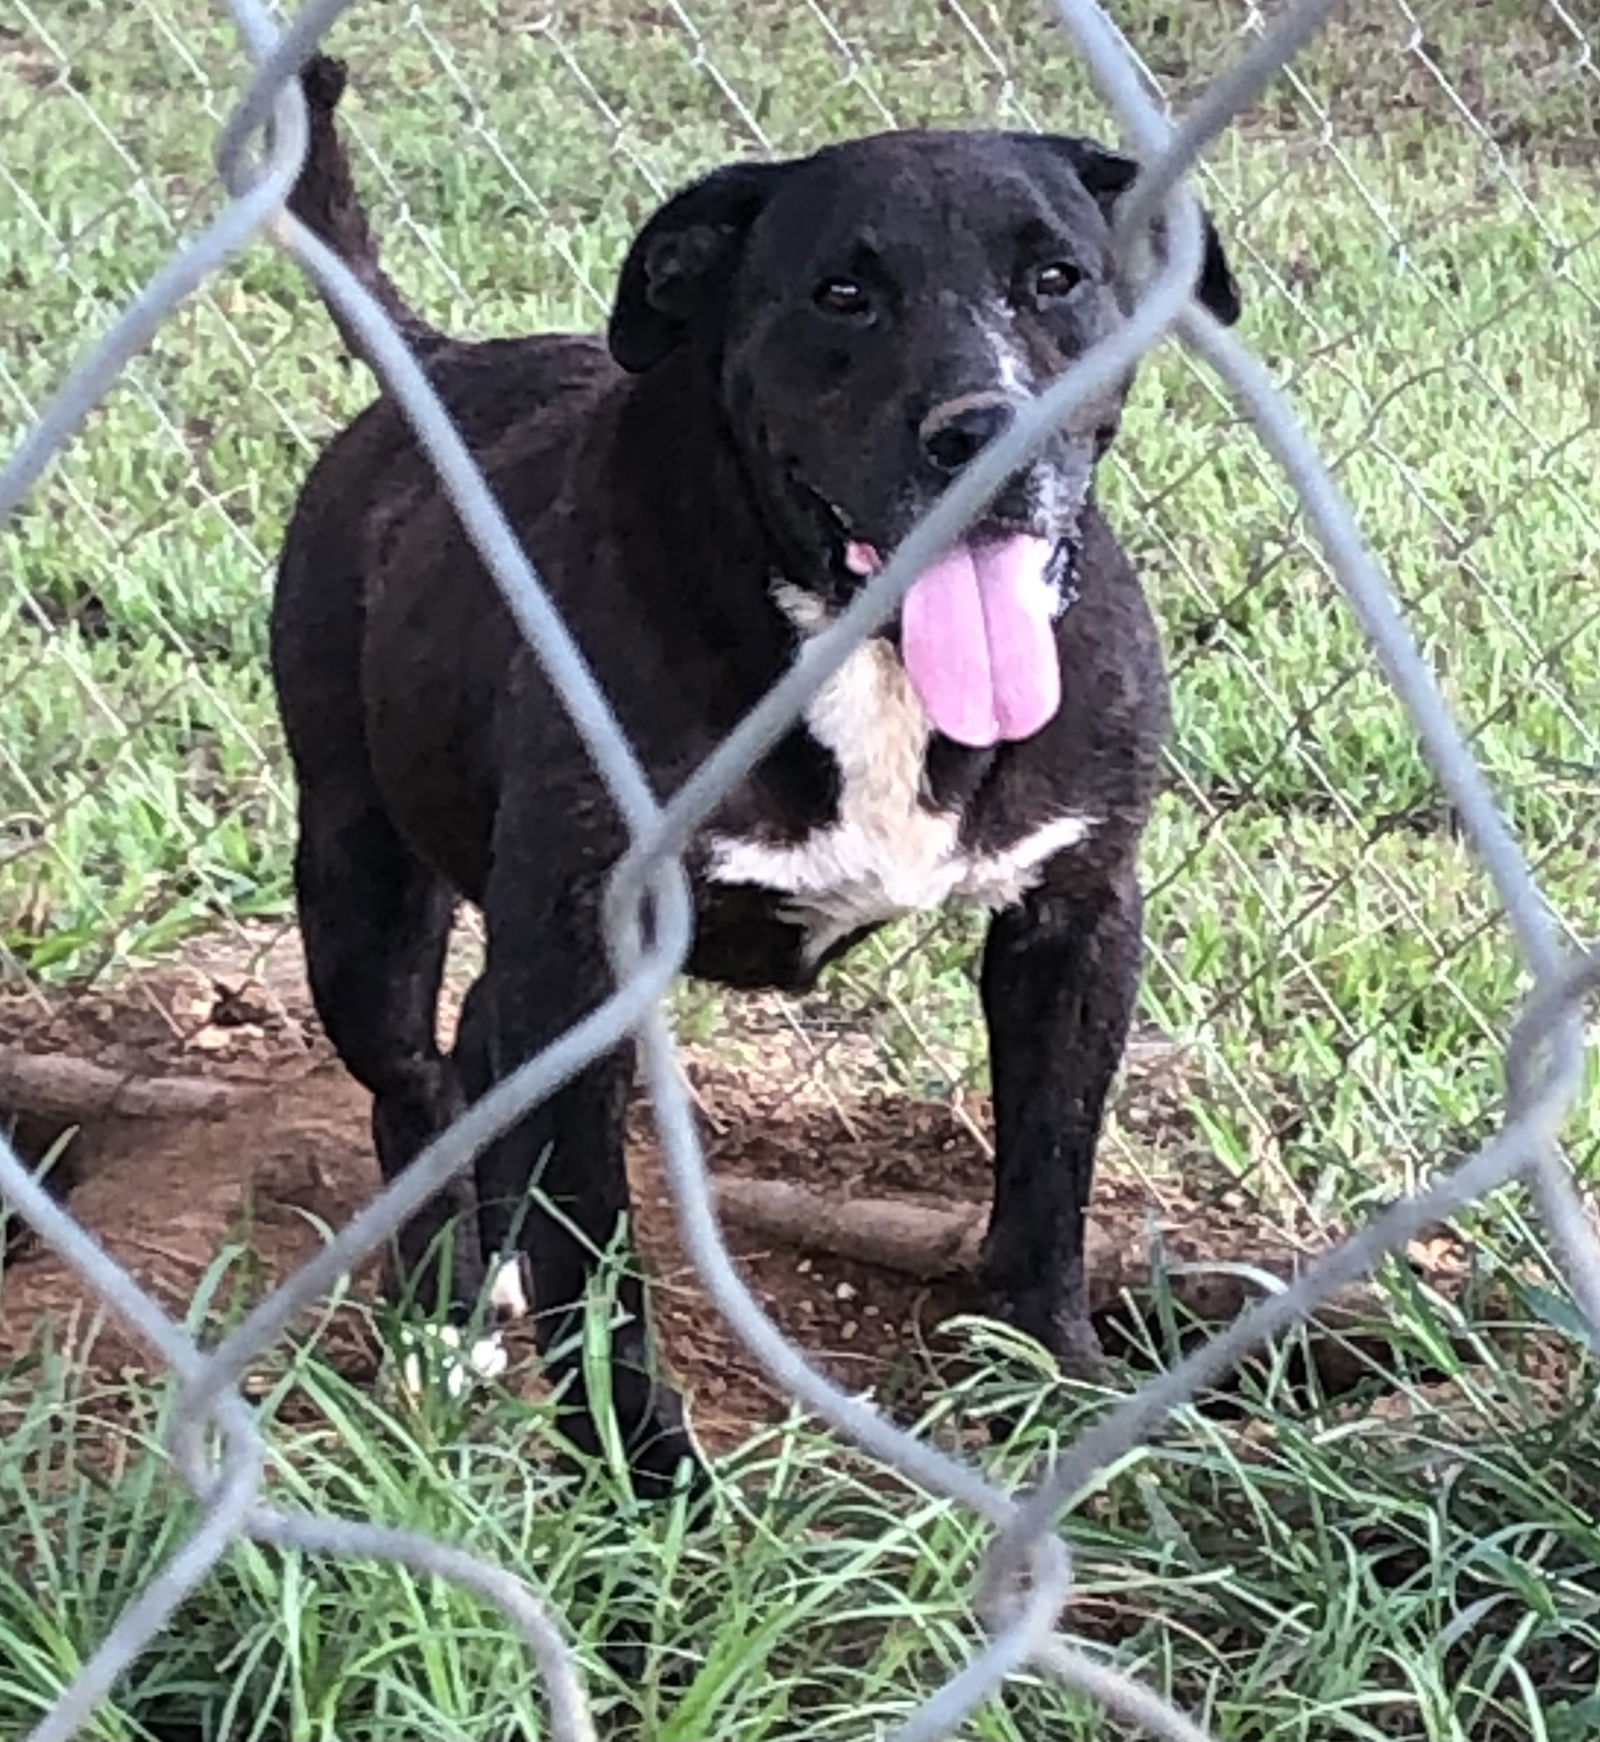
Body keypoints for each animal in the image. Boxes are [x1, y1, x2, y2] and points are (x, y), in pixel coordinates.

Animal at [275, 57, 1247, 1498]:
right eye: (842, 293)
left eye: (1056, 277)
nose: (987, 434)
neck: (872, 653)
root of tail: (436, 364)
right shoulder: (582, 943)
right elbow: (596, 1251)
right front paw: (638, 1470)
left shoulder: (1075, 920)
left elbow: (1048, 1180)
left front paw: (1062, 1388)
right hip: (360, 891)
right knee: (411, 1082)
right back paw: (440, 1313)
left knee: (477, 1045)